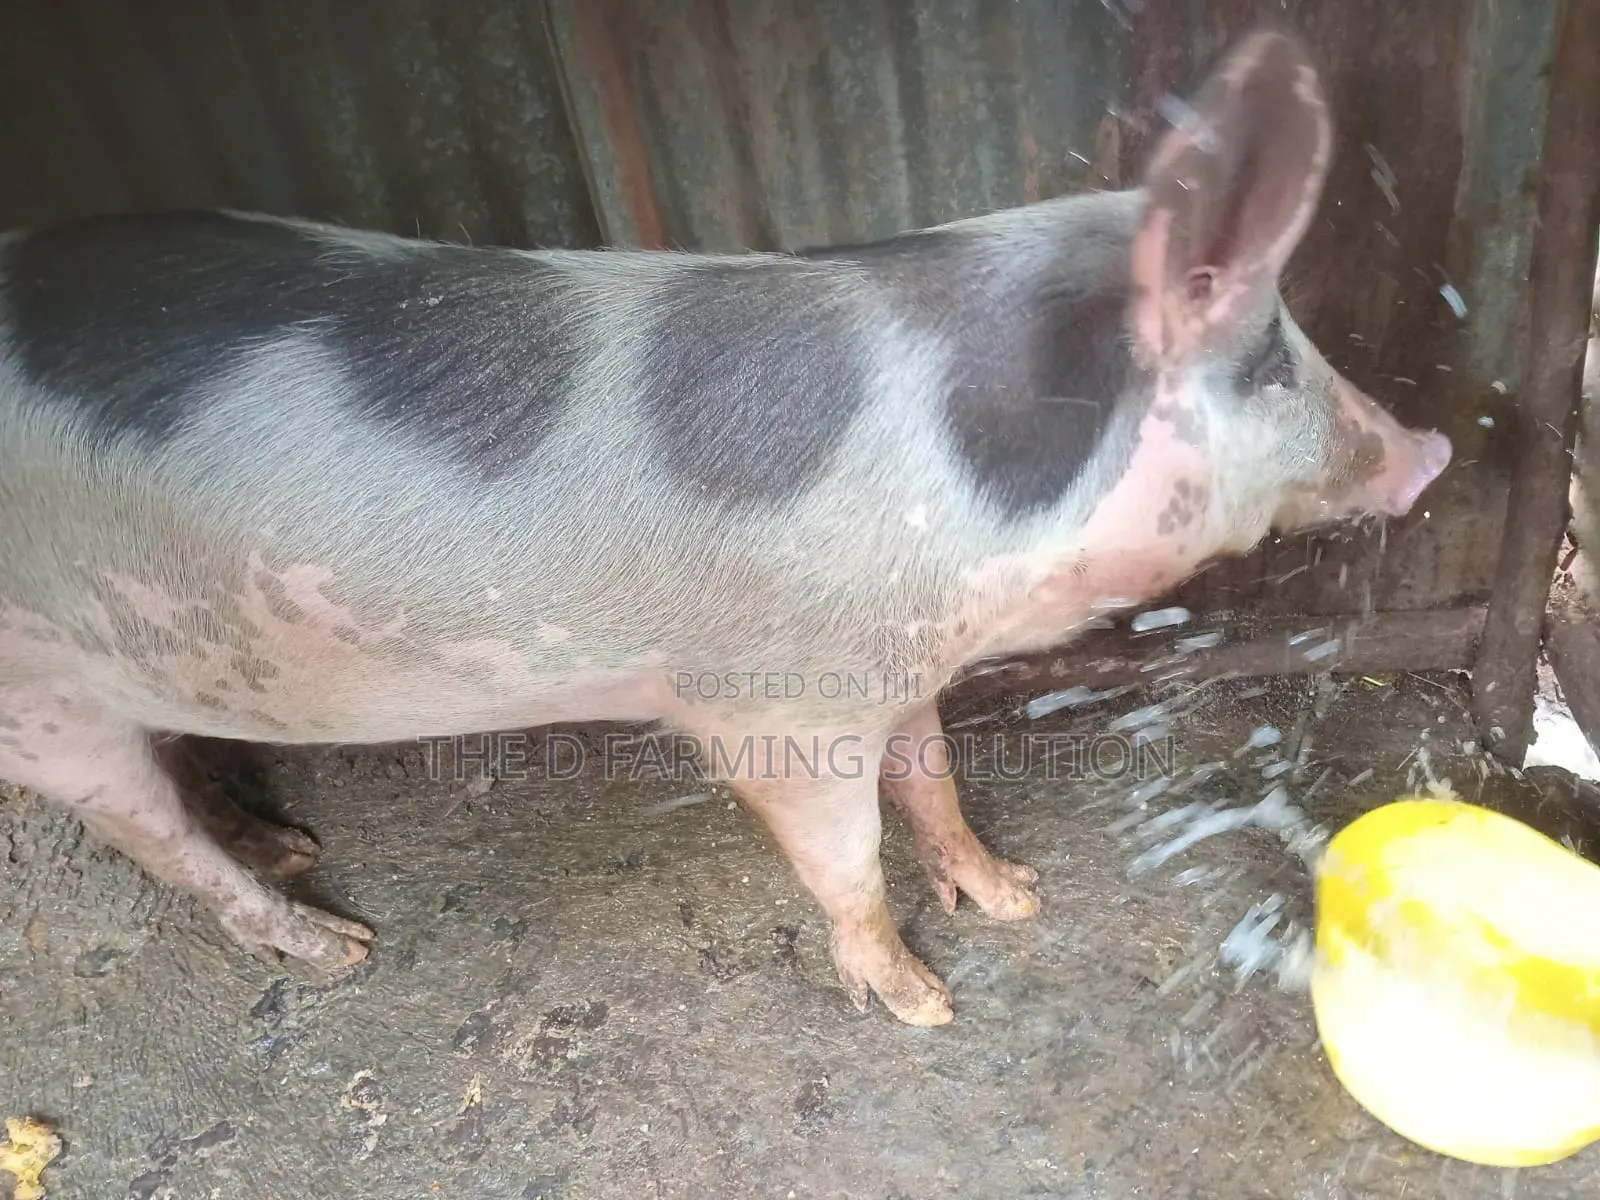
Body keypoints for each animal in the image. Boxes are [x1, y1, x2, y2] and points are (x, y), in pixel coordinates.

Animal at [0, 29, 1449, 1026]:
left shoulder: (896, 662)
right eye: (1270, 361)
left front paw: (1016, 895)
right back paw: (336, 945)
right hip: (40, 704)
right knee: (154, 841)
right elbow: (846, 857)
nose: (1430, 451)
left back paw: (290, 844)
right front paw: (926, 1004)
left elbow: (932, 779)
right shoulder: (778, 702)